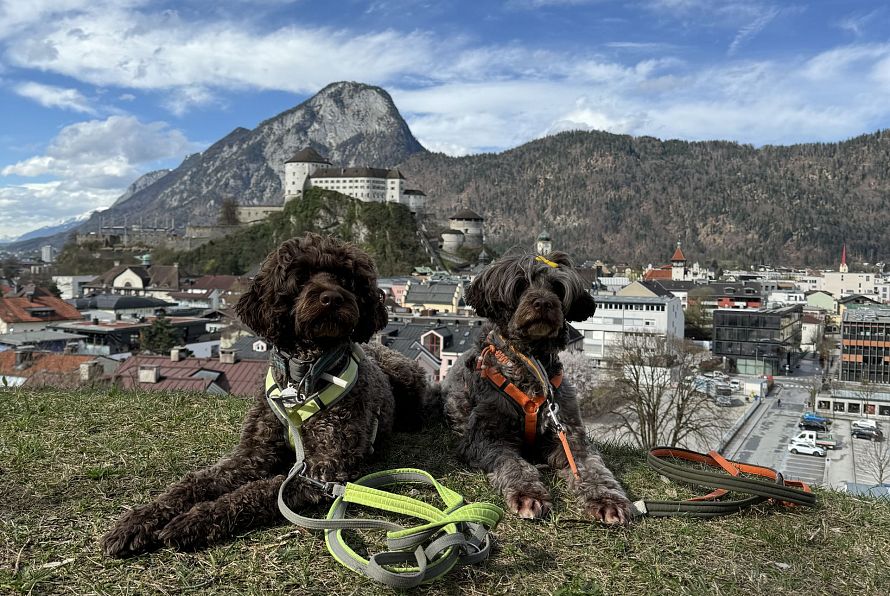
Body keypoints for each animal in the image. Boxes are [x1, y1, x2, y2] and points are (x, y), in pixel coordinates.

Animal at [440, 251, 628, 528]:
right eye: (520, 285)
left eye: (557, 288)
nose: (543, 303)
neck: (530, 365)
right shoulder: (485, 437)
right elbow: (514, 464)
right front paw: (528, 493)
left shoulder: (569, 435)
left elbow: (592, 467)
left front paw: (606, 498)